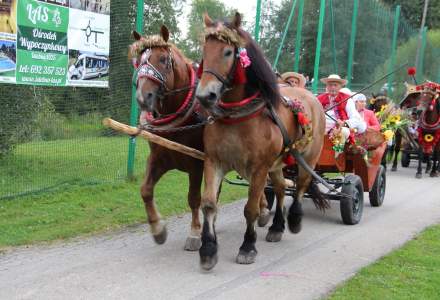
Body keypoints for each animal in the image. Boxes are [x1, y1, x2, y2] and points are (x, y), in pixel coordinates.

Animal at [127, 26, 203, 251]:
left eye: (162, 59)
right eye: (138, 61)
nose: (143, 98)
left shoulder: (197, 163)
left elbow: (194, 198)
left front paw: (195, 232)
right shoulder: (159, 158)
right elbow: (145, 190)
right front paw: (158, 229)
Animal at [193, 12, 326, 270]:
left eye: (228, 52)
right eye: (205, 50)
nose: (205, 96)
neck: (237, 118)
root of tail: (311, 96)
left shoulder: (258, 168)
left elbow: (251, 209)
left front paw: (247, 246)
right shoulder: (214, 162)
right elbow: (209, 204)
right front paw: (208, 249)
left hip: (307, 158)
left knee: (301, 186)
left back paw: (294, 219)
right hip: (276, 164)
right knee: (282, 187)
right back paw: (277, 226)